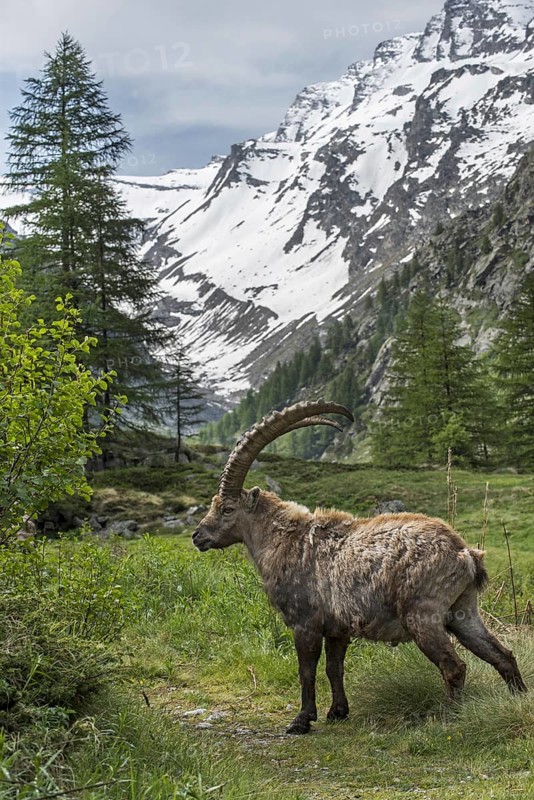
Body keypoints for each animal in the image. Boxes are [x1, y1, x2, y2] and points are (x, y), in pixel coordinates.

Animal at [193, 401, 526, 734]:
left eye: (227, 509)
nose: (198, 536)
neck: (283, 539)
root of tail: (465, 552)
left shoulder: (305, 623)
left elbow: (306, 671)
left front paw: (302, 720)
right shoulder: (337, 629)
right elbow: (334, 668)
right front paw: (337, 712)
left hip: (423, 615)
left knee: (454, 666)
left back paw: (448, 715)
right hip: (463, 612)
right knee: (502, 655)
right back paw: (519, 699)